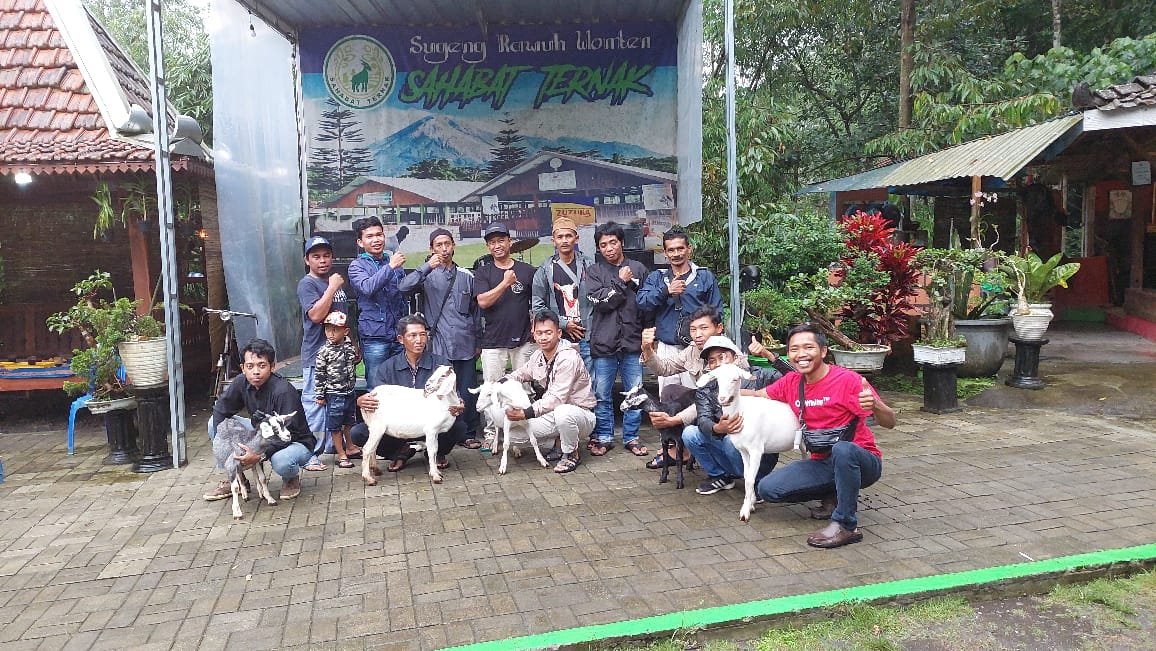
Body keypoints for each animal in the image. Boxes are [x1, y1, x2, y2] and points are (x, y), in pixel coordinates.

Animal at [697, 363, 801, 522]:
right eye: (717, 379)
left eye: (735, 379)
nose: (722, 398)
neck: (742, 411)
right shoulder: (743, 451)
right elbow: (746, 477)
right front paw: (750, 503)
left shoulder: (756, 449)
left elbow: (751, 479)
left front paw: (745, 511)